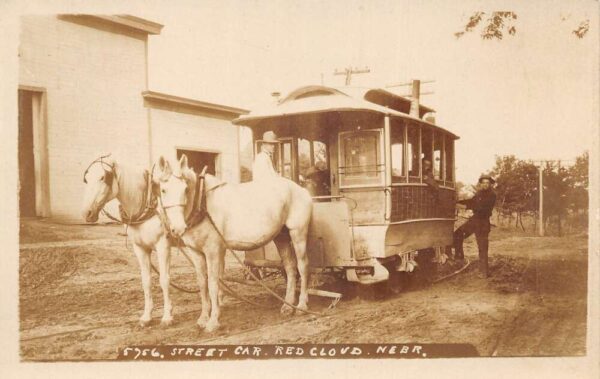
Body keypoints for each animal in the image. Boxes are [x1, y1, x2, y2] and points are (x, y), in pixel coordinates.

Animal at [155, 154, 314, 332]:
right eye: (163, 190)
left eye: (185, 189)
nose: (177, 228)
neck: (203, 203)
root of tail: (300, 189)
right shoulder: (196, 252)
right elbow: (202, 284)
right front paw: (203, 318)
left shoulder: (213, 251)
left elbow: (213, 283)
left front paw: (213, 322)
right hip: (281, 237)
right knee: (290, 267)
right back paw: (287, 306)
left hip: (298, 233)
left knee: (303, 266)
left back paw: (302, 305)